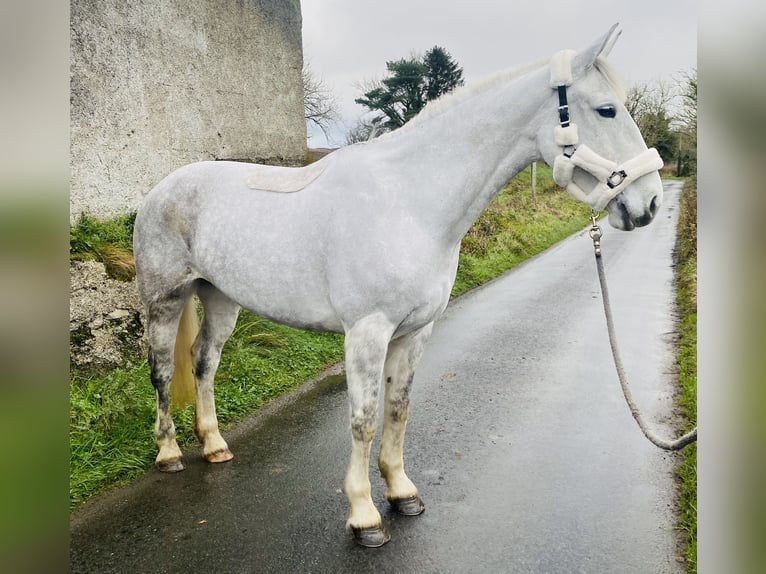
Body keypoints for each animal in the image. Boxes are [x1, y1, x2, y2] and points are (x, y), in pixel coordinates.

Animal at [134, 23, 664, 548]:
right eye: (607, 109)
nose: (651, 203)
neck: (410, 202)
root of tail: (160, 190)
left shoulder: (414, 332)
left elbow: (398, 409)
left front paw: (401, 492)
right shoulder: (367, 332)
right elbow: (364, 419)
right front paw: (364, 515)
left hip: (220, 297)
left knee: (203, 361)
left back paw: (214, 444)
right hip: (165, 299)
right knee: (163, 370)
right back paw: (169, 453)